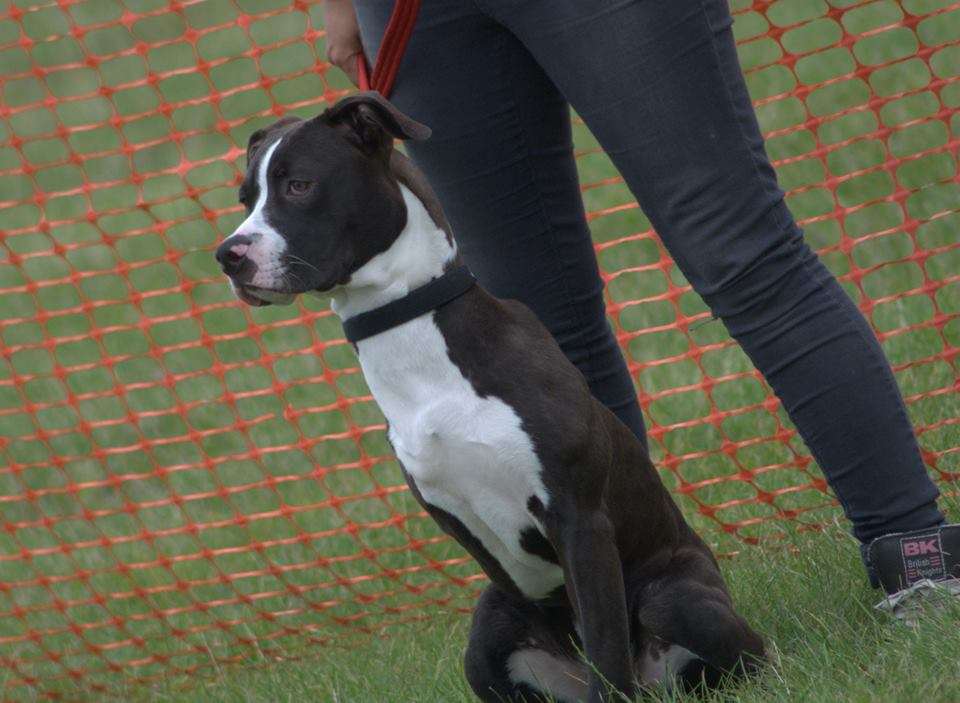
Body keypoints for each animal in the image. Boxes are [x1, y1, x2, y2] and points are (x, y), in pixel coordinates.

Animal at [218, 93, 764, 703]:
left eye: (299, 186)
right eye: (246, 199)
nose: (228, 256)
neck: (416, 333)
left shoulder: (580, 521)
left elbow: (605, 643)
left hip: (676, 600)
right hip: (489, 628)